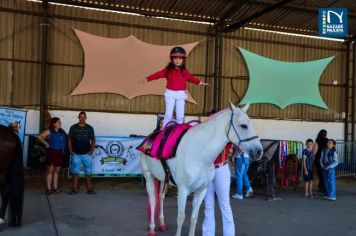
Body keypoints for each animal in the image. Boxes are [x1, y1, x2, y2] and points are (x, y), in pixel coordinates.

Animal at [140, 103, 262, 236]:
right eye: (243, 125)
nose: (259, 151)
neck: (198, 153)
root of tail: (150, 138)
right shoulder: (183, 190)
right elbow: (181, 217)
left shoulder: (201, 191)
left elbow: (194, 218)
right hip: (149, 176)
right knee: (153, 200)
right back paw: (152, 228)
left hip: (163, 178)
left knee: (161, 197)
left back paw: (162, 224)